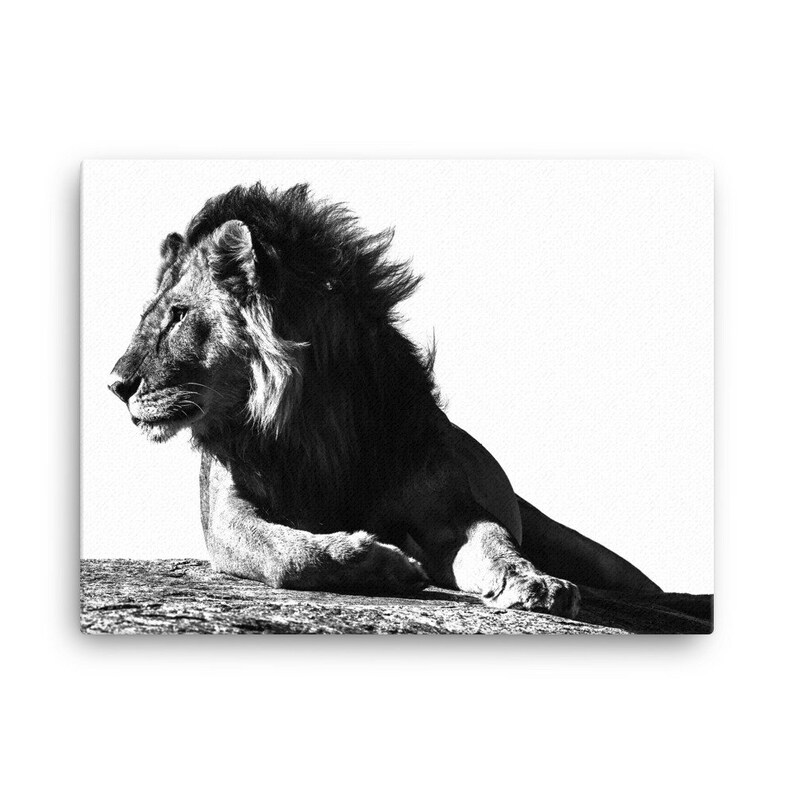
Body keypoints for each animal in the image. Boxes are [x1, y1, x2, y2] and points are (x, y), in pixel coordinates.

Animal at [109, 183, 661, 619]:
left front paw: (534, 581)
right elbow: (286, 555)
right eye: (152, 314)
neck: (313, 423)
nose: (115, 384)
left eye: (178, 315)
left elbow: (495, 540)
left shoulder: (449, 509)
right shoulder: (225, 516)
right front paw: (382, 563)